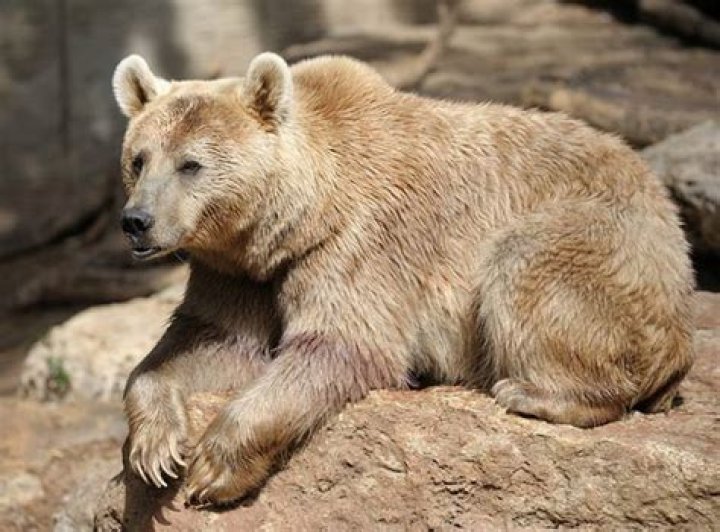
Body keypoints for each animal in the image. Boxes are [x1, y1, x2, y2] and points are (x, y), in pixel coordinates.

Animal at [112, 51, 694, 506]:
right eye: (139, 159)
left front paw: (214, 469)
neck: (293, 221)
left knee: (529, 265)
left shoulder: (359, 244)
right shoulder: (238, 273)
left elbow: (340, 346)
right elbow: (213, 341)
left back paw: (530, 391)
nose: (137, 221)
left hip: (604, 241)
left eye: (191, 164)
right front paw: (156, 449)